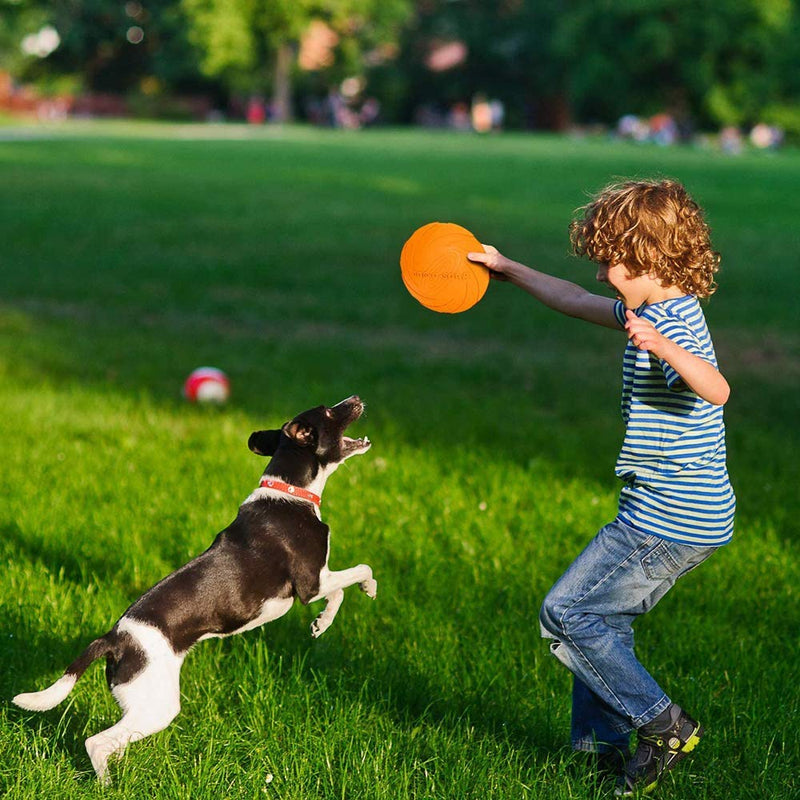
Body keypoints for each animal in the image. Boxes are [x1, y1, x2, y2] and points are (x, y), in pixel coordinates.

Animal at [12, 396, 376, 784]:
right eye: (328, 411)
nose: (355, 400)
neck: (289, 491)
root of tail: (114, 639)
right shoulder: (311, 582)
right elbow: (358, 572)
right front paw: (368, 588)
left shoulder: (318, 582)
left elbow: (338, 593)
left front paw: (322, 623)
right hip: (159, 706)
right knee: (96, 742)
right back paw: (109, 784)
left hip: (140, 704)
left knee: (116, 741)